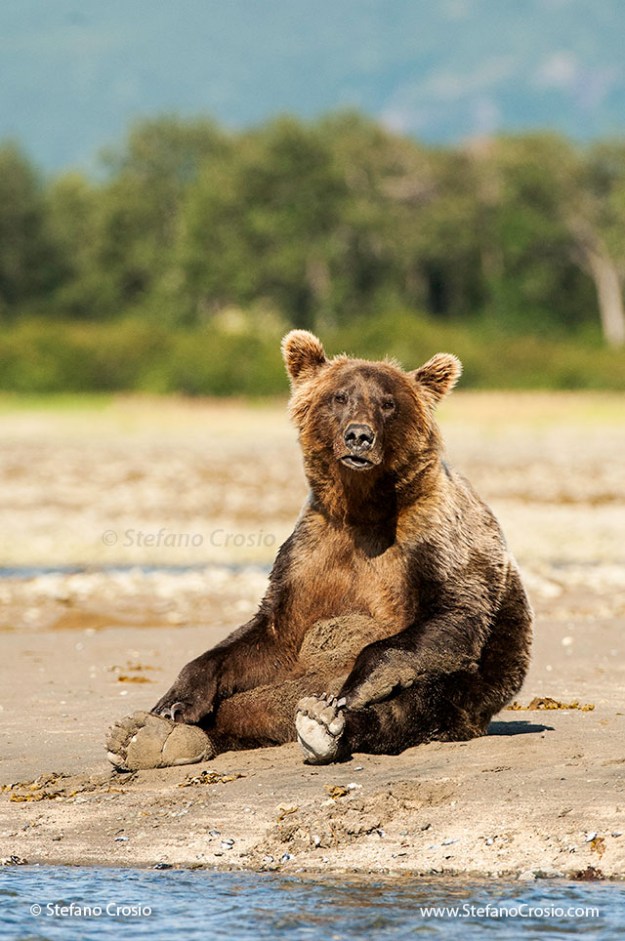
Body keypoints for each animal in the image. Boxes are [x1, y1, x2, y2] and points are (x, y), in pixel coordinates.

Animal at [106, 330, 533, 769]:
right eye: (340, 397)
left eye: (388, 403)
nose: (359, 436)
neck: (363, 512)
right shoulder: (312, 555)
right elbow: (267, 634)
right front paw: (173, 704)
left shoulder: (436, 544)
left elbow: (450, 614)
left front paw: (357, 688)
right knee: (241, 708)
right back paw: (150, 737)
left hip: (475, 682)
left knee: (418, 704)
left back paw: (324, 722)